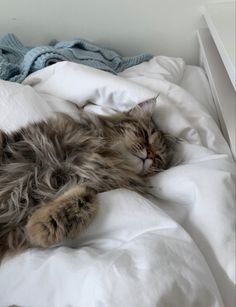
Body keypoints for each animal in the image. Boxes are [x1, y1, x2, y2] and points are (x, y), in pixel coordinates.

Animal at [0, 100, 173, 256]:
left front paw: (38, 227)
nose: (150, 155)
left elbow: (84, 197)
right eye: (145, 134)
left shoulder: (96, 185)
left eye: (158, 157)